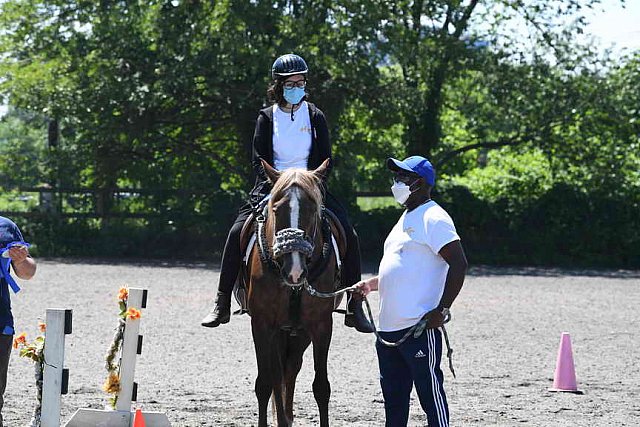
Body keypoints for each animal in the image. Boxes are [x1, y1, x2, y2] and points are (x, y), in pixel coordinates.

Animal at [248, 159, 340, 426]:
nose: (295, 271)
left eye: (312, 210)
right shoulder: (262, 324)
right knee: (278, 374)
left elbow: (321, 387)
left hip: (298, 333)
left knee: (290, 369)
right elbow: (265, 383)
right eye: (277, 210)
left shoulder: (321, 326)